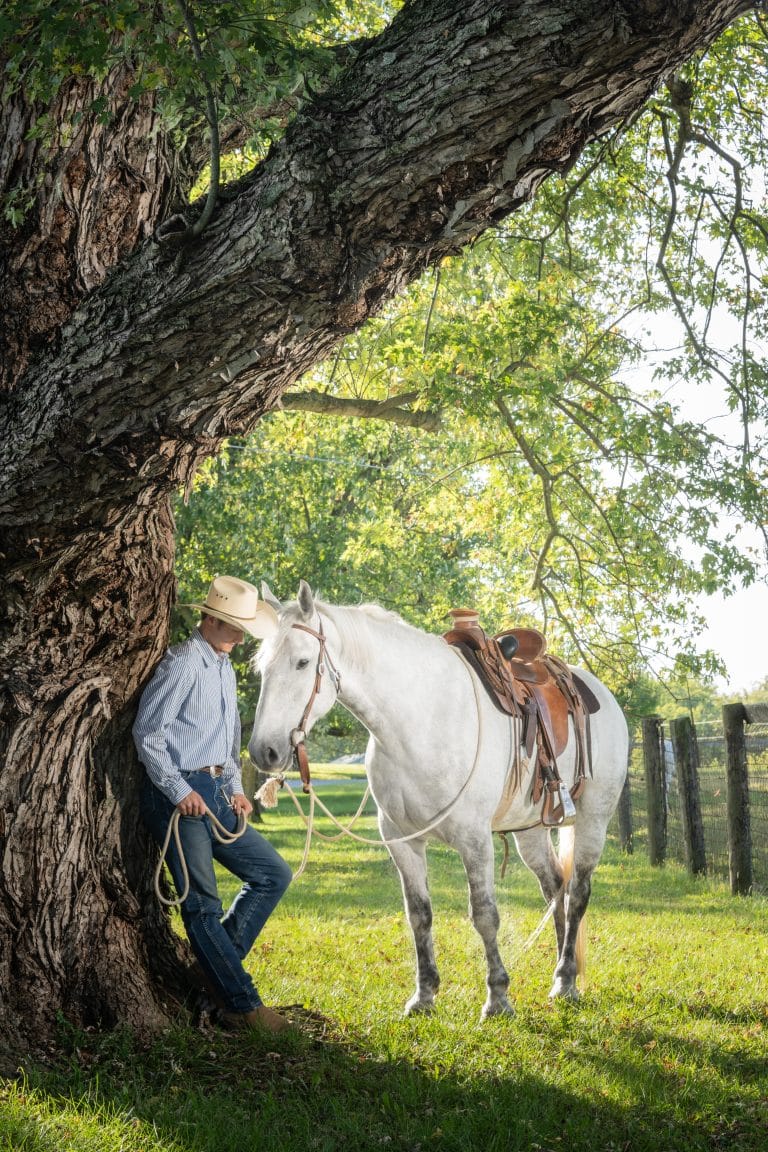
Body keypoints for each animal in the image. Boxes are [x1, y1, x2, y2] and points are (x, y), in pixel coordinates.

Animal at [249, 581, 629, 1019]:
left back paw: (566, 980)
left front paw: (498, 998)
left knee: (578, 893)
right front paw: (424, 995)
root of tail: (597, 691)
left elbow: (485, 915)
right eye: (261, 667)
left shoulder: (474, 840)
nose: (264, 752)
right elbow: (419, 915)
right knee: (555, 889)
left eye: (302, 662)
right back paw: (560, 973)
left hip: (592, 821)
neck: (418, 722)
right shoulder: (401, 841)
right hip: (530, 830)